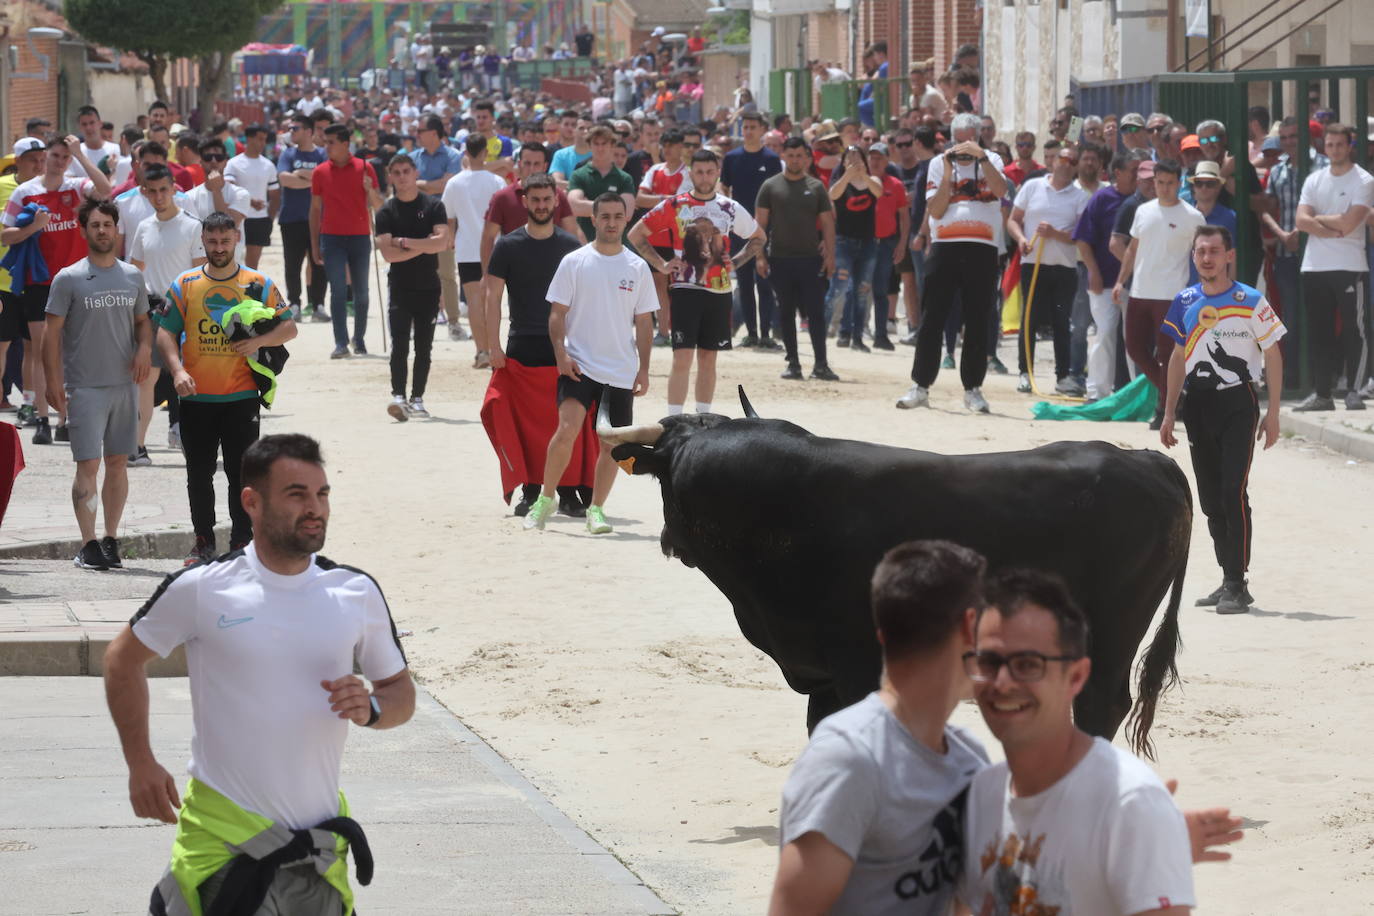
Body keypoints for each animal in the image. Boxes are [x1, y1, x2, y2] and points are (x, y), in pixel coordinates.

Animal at [601, 395, 1192, 758]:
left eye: (662, 477)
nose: (667, 539)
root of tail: (1148, 461)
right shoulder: (825, 673)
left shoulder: (857, 662)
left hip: (1113, 629)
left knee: (1100, 705)